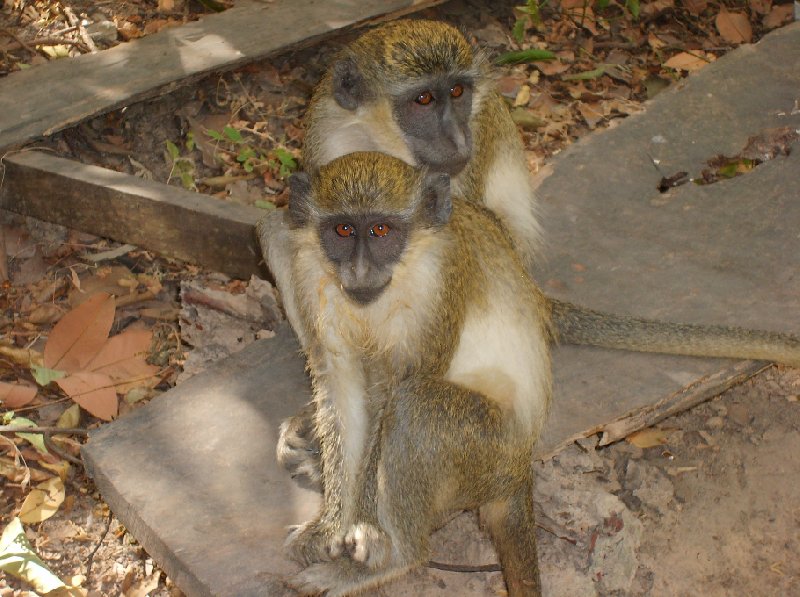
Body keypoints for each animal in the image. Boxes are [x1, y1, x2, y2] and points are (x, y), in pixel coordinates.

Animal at [256, 151, 552, 592]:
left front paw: (363, 527)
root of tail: (520, 471)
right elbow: (341, 383)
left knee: (415, 407)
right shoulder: (310, 269)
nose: (360, 271)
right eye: (343, 229)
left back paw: (398, 557)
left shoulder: (440, 279)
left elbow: (398, 387)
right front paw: (330, 526)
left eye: (381, 230)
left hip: (490, 456)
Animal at [268, 18, 800, 486]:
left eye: (457, 93)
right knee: (278, 232)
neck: (382, 141)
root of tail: (536, 296)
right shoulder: (328, 131)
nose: (457, 137)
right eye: (422, 99)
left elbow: (462, 226)